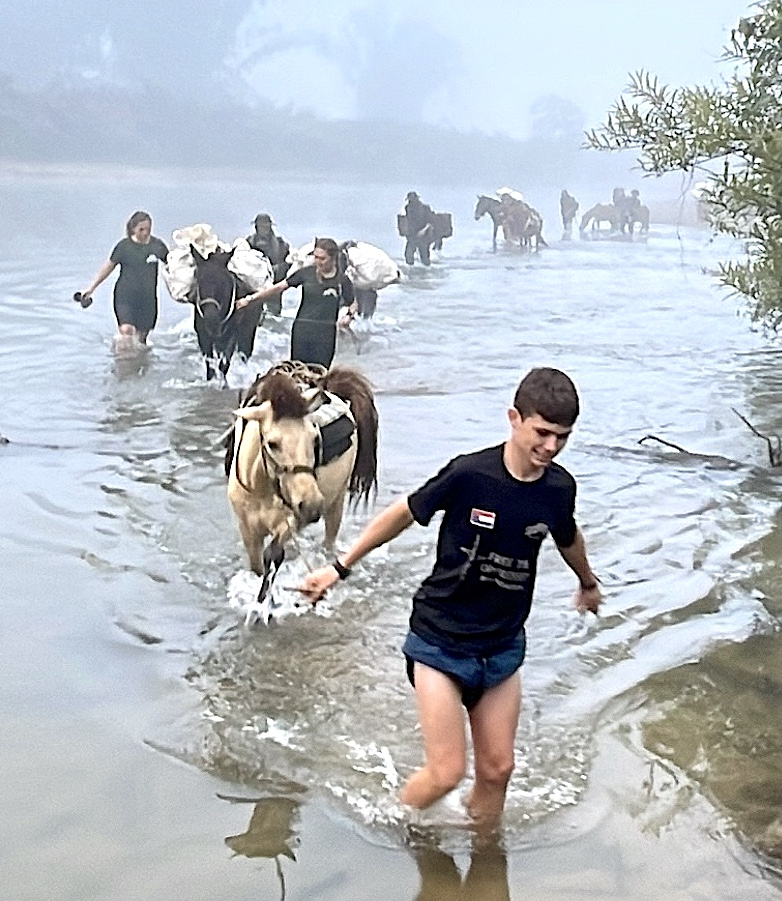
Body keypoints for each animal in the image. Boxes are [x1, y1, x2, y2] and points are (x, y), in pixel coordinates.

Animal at [190, 246, 265, 382]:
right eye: (199, 280)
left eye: (223, 282)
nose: (211, 320)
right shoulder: (203, 335)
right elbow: (210, 365)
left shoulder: (234, 334)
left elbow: (224, 364)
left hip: (248, 332)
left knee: (244, 353)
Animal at [226, 360, 379, 608]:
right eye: (272, 443)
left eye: (314, 438)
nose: (312, 504)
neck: (262, 488)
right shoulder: (247, 528)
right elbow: (257, 565)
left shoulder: (292, 520)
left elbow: (273, 554)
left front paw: (265, 601)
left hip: (336, 502)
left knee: (329, 539)